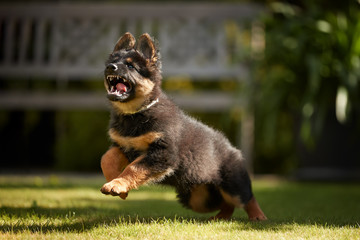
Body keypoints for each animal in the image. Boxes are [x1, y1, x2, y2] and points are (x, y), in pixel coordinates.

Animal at [100, 32, 266, 220]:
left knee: (245, 197)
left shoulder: (162, 152)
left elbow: (133, 168)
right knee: (226, 204)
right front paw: (116, 184)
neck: (135, 113)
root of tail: (232, 147)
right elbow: (106, 159)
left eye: (130, 66)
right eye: (111, 62)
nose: (110, 67)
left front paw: (117, 184)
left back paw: (258, 217)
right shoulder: (122, 145)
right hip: (199, 198)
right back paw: (220, 218)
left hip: (231, 183)